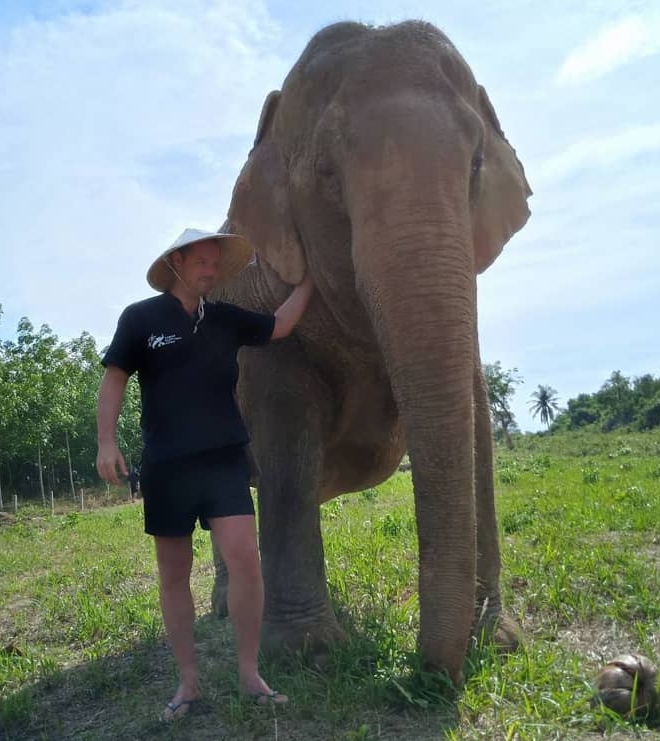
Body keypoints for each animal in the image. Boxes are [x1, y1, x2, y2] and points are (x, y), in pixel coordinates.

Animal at [211, 18, 532, 688]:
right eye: (328, 175)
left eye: (475, 165)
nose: (421, 676)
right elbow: (285, 433)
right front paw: (307, 657)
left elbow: (476, 420)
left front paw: (499, 639)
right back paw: (228, 610)